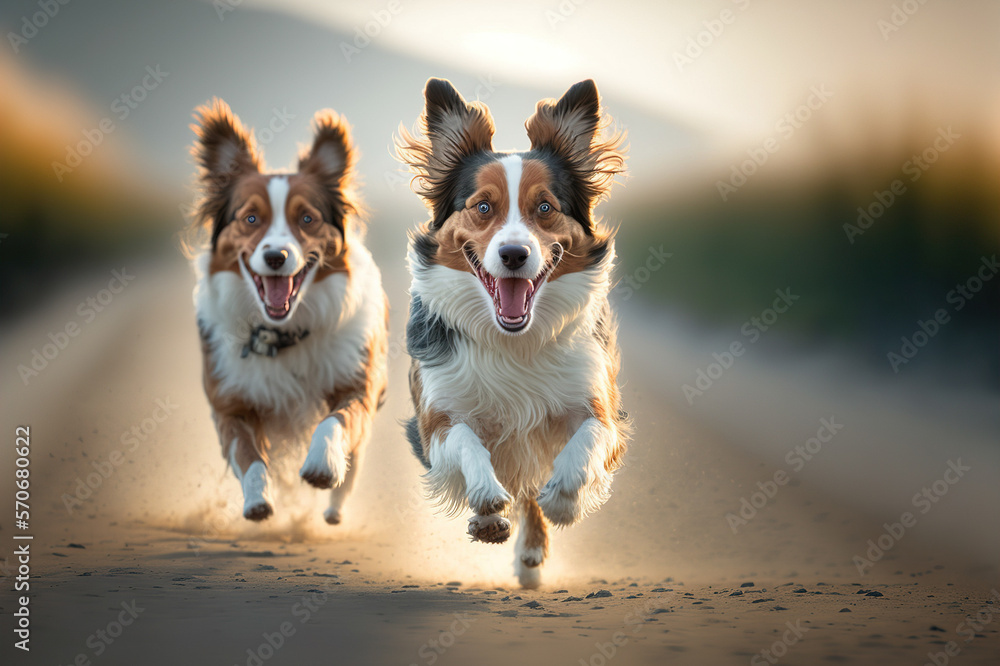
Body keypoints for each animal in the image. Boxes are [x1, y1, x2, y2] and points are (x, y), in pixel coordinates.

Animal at [189, 98, 388, 524]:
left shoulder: (357, 386)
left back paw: (334, 509)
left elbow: (335, 422)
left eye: (307, 219)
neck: (281, 332)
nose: (276, 257)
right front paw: (257, 499)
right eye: (250, 218)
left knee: (355, 460)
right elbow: (248, 455)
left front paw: (322, 465)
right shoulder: (230, 405)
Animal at [396, 79, 624, 588]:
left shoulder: (599, 406)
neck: (513, 339)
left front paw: (563, 499)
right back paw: (489, 520)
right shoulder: (436, 418)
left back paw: (531, 549)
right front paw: (485, 497)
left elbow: (586, 442)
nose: (515, 254)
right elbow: (466, 441)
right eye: (483, 207)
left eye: (545, 208)